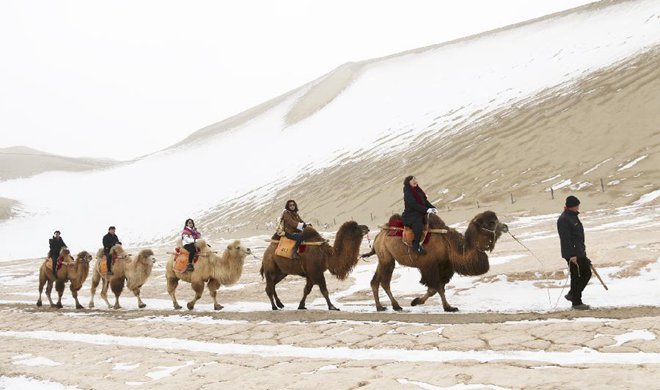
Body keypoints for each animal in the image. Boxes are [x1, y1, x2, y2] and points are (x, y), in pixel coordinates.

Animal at [364, 212, 508, 312]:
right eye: (491, 222)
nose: (505, 226)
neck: (448, 244)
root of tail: (379, 235)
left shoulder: (444, 266)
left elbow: (436, 288)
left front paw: (416, 301)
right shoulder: (430, 266)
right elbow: (436, 287)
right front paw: (448, 307)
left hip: (383, 258)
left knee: (374, 282)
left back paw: (380, 307)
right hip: (387, 258)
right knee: (385, 282)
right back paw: (396, 306)